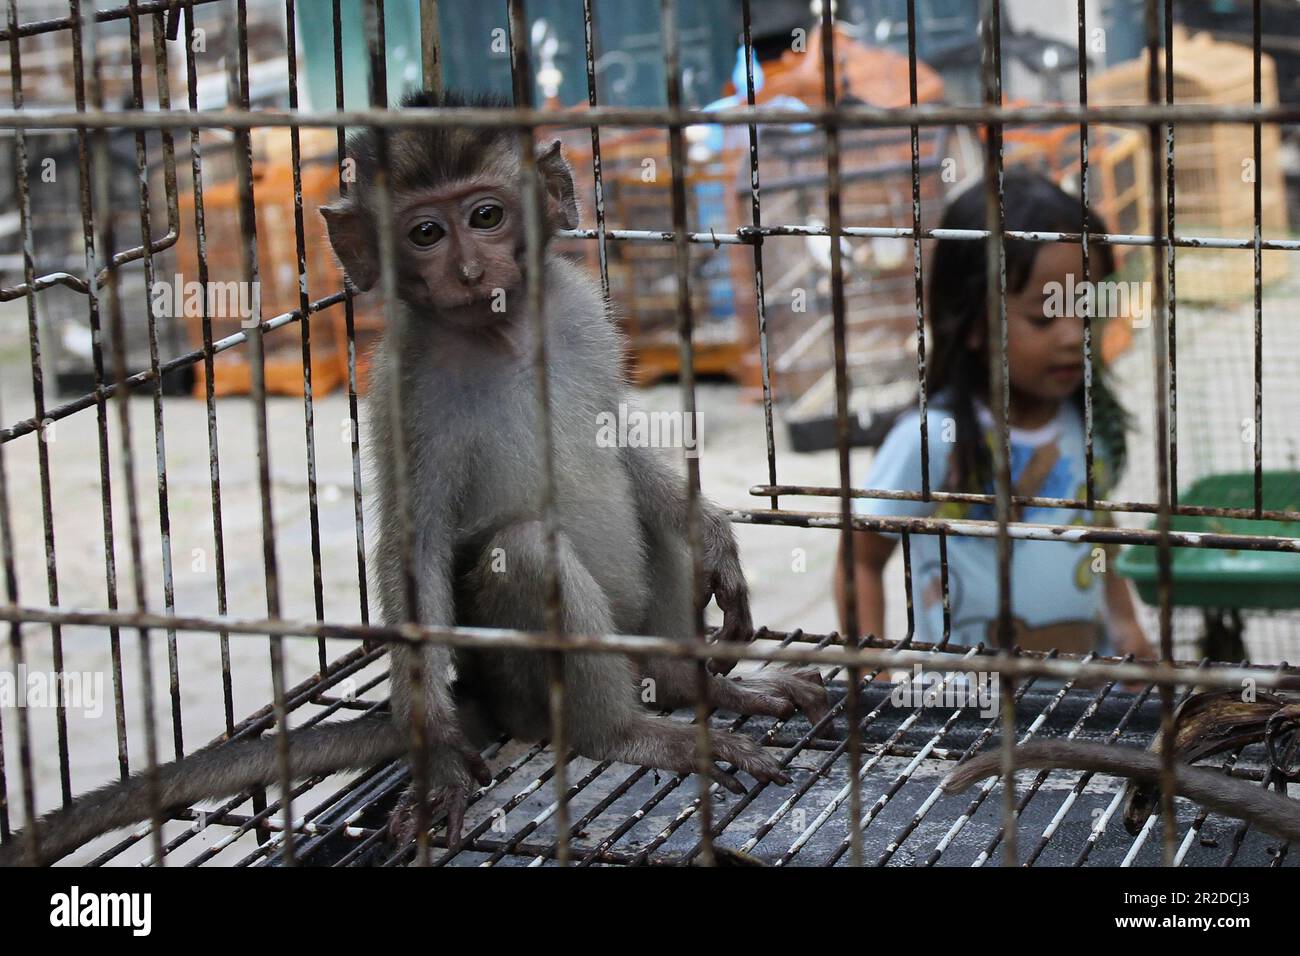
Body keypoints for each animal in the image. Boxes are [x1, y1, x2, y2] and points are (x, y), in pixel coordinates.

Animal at [0, 95, 832, 868]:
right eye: (424, 233)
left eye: (486, 215)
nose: (467, 268)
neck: (502, 335)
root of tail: (484, 697)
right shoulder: (406, 384)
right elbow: (417, 545)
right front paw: (440, 770)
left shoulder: (577, 312)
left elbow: (619, 442)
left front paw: (715, 538)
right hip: (516, 682)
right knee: (525, 554)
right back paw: (629, 730)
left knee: (644, 535)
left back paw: (696, 685)